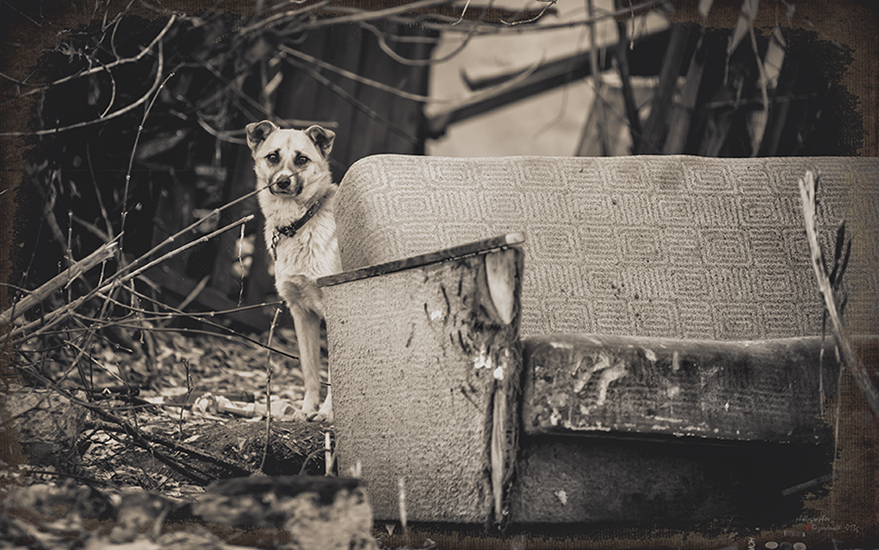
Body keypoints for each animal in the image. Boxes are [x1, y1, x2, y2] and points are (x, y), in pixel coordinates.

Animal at [249, 121, 346, 422]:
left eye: (302, 159)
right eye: (272, 157)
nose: (282, 181)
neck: (301, 223)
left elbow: (334, 372)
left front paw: (327, 414)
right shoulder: (302, 314)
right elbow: (310, 370)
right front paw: (306, 410)